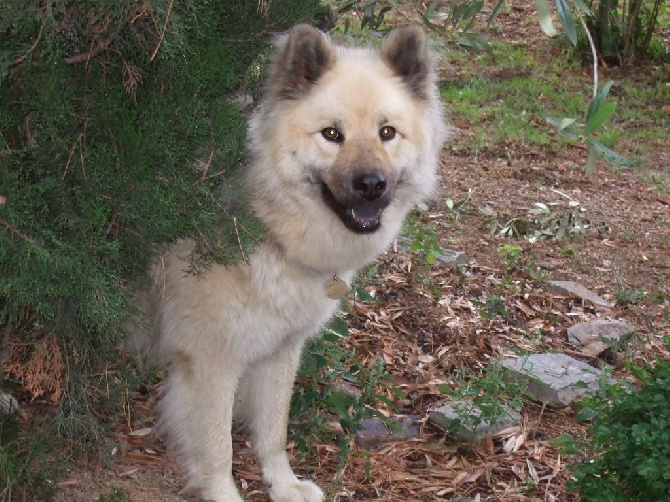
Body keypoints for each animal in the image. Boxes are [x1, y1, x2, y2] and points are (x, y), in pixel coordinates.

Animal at [150, 23, 448, 502]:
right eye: (331, 134)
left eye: (387, 132)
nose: (372, 185)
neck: (263, 221)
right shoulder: (210, 363)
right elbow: (217, 450)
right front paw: (225, 492)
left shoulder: (279, 350)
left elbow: (273, 429)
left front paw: (283, 484)